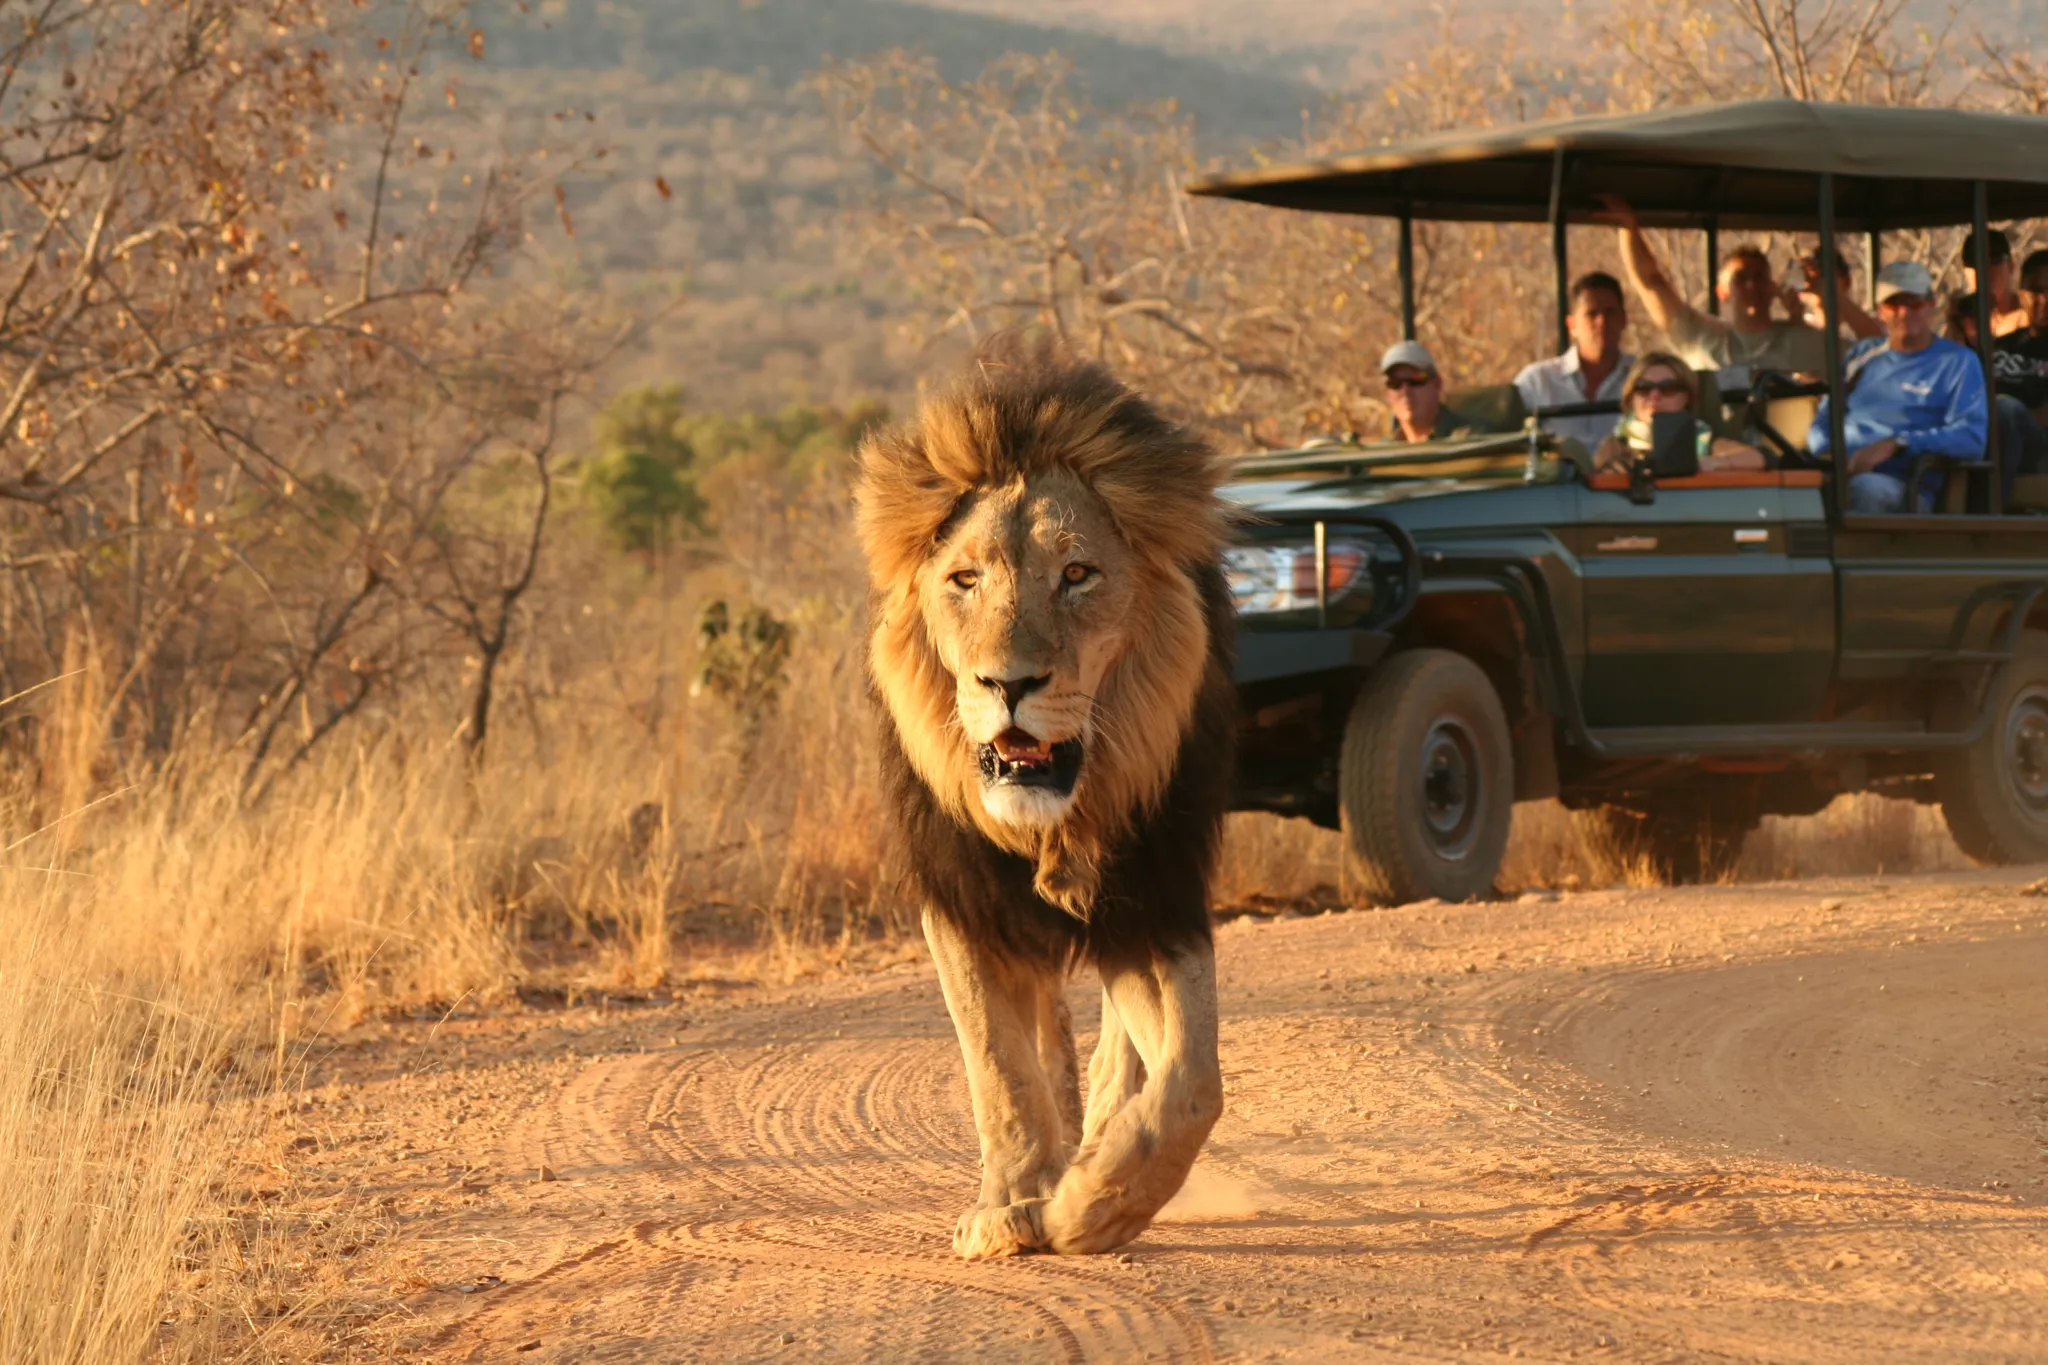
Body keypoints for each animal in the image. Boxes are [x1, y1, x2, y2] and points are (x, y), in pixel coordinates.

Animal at [856, 337, 1236, 1259]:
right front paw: (1015, 1202)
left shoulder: (1155, 892)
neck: (1054, 827)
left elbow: (1192, 1076)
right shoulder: (959, 895)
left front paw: (1097, 1203)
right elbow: (998, 1062)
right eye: (964, 579)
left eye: (1077, 574)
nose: (1009, 683)